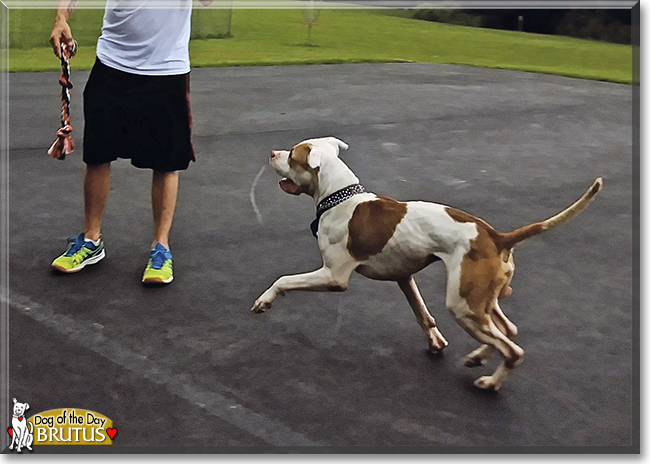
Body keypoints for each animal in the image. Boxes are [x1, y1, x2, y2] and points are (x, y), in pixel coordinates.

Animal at [252, 136, 596, 390]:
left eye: (292, 155)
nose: (271, 152)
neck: (340, 197)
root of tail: (497, 237)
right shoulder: (404, 276)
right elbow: (422, 313)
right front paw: (434, 342)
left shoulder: (333, 277)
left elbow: (284, 280)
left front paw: (264, 300)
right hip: (482, 299)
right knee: (507, 329)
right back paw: (478, 356)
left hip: (462, 304)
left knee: (513, 349)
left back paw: (490, 382)